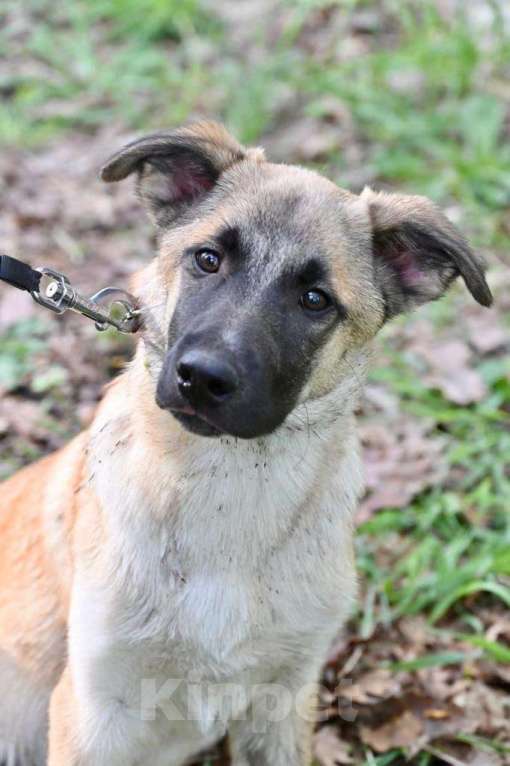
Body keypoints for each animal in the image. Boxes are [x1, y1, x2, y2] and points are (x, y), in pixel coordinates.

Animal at [0, 123, 494, 764]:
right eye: (207, 260)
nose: (202, 377)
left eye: (315, 300)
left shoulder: (283, 704)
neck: (225, 488)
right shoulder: (91, 708)